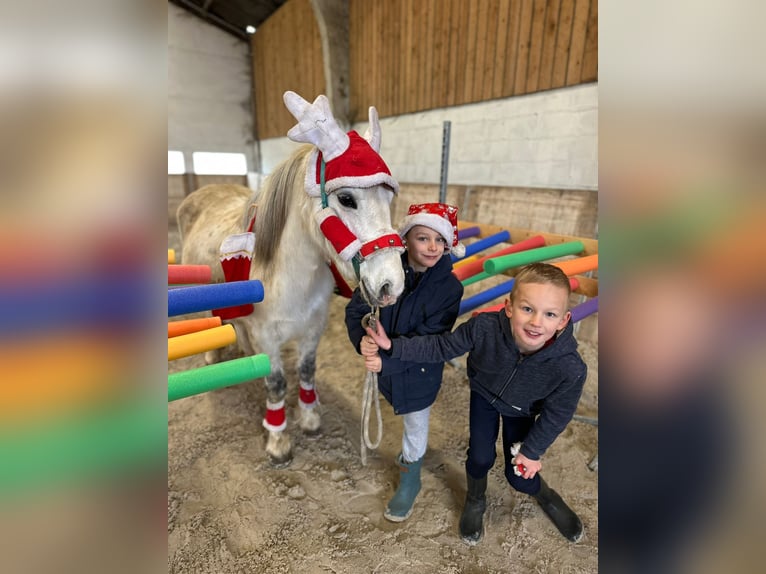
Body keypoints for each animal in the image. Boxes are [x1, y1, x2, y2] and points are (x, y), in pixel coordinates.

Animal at [177, 91, 404, 468]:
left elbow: (308, 370)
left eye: (389, 197)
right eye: (346, 198)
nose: (392, 284)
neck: (290, 279)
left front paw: (309, 419)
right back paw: (214, 355)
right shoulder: (267, 338)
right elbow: (277, 384)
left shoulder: (313, 330)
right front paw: (278, 440)